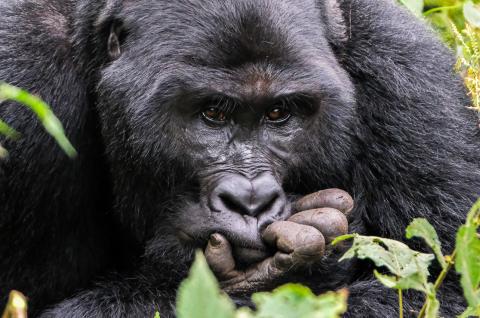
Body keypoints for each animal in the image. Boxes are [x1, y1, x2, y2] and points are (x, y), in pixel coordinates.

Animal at [0, 0, 480, 316]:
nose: (251, 201)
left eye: (279, 113)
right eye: (212, 112)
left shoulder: (407, 71)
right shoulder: (22, 75)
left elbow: (442, 291)